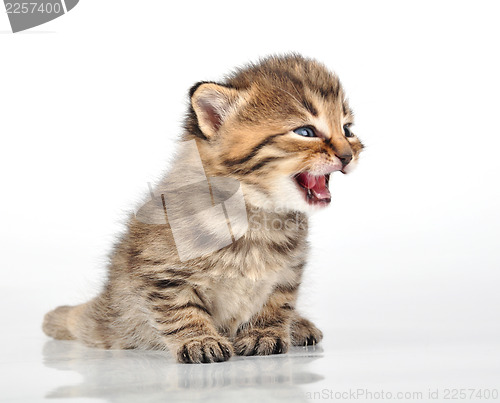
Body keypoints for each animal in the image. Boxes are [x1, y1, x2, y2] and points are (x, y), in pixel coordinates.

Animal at [43, 52, 364, 362]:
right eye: (306, 132)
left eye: (347, 130)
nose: (348, 155)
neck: (256, 217)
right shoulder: (161, 273)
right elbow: (181, 310)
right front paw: (199, 340)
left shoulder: (288, 272)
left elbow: (277, 303)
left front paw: (265, 333)